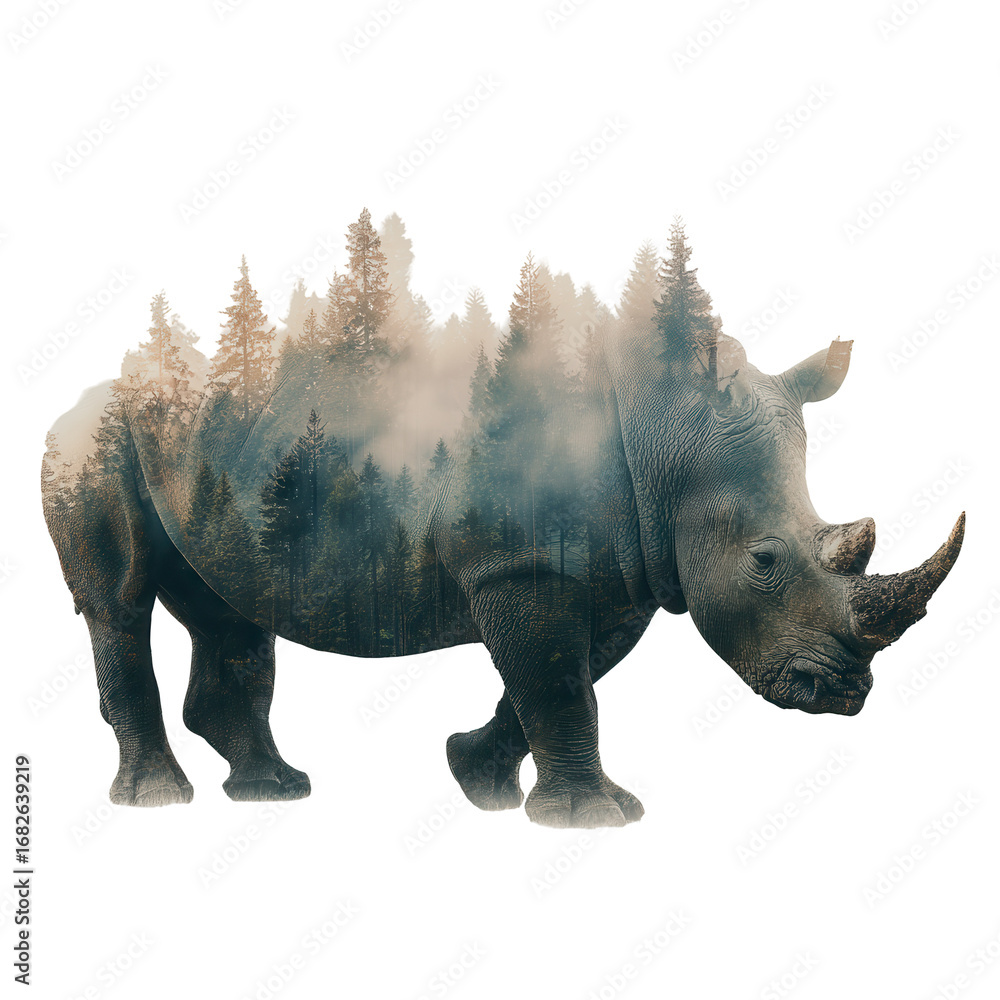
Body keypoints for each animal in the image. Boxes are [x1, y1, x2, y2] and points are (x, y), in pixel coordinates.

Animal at [41, 274, 964, 830]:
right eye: (766, 561)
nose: (841, 694)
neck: (666, 432)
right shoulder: (521, 564)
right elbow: (557, 682)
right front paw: (592, 821)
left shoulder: (616, 571)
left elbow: (564, 677)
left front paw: (478, 782)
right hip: (90, 439)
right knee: (118, 600)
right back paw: (160, 802)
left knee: (229, 607)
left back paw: (272, 791)